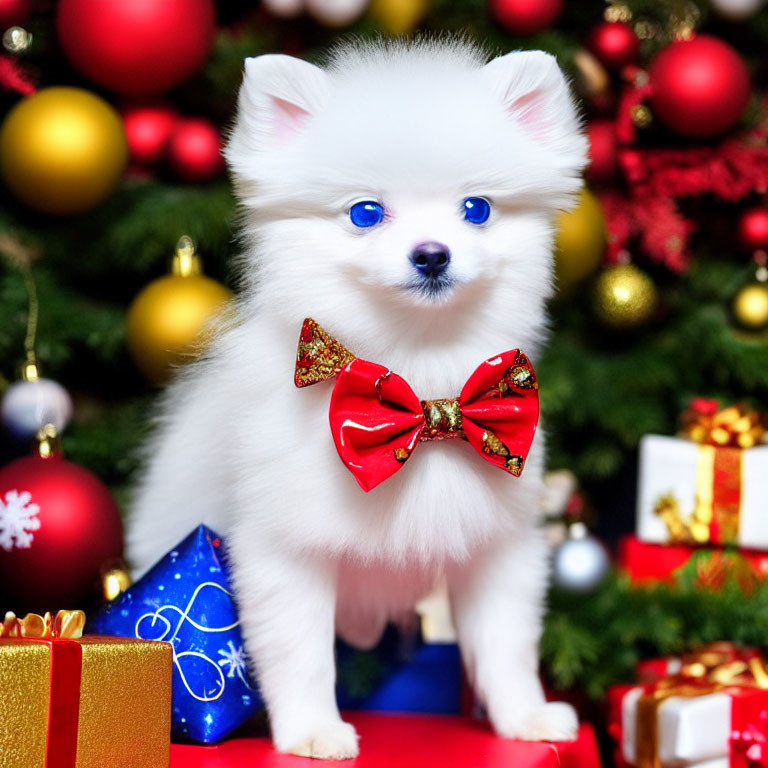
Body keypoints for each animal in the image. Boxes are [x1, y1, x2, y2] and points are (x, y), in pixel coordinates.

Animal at [126, 40, 584, 760]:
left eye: (477, 209)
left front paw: (526, 718)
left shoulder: (498, 541)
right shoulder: (286, 550)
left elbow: (506, 643)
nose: (432, 254)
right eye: (365, 213)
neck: (418, 371)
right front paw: (313, 731)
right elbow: (301, 653)